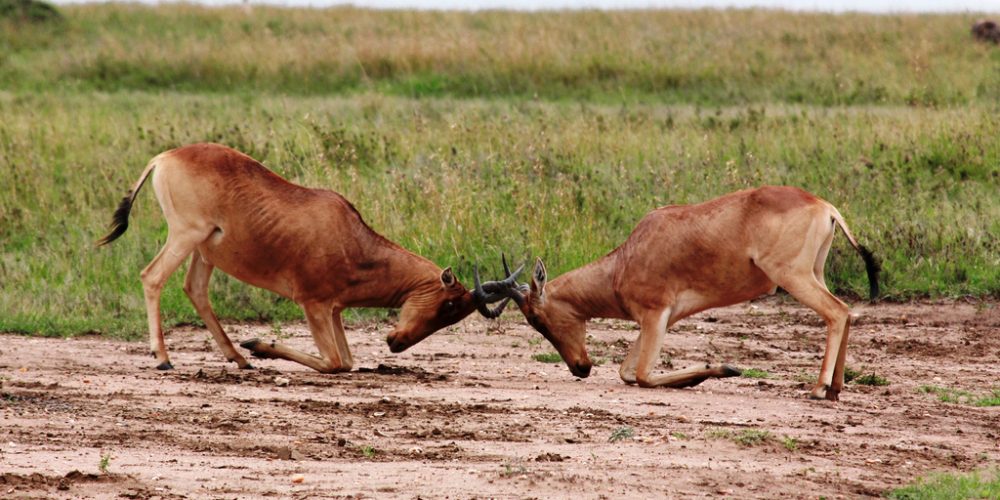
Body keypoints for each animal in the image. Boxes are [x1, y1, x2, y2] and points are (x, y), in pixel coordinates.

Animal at [95, 143, 516, 374]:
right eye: (448, 305)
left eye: (454, 315)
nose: (396, 342)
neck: (349, 236)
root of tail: (165, 157)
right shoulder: (311, 303)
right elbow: (335, 363)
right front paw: (259, 344)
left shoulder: (333, 310)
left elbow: (347, 361)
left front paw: (255, 346)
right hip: (186, 234)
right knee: (153, 277)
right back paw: (165, 358)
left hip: (206, 250)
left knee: (195, 289)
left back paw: (239, 358)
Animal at [488, 186, 880, 400]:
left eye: (537, 318)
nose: (580, 368)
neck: (626, 258)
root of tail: (825, 207)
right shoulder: (662, 320)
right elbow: (627, 372)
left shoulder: (655, 314)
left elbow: (641, 376)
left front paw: (723, 368)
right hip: (814, 273)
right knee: (846, 312)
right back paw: (835, 389)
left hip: (793, 276)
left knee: (836, 312)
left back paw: (818, 389)